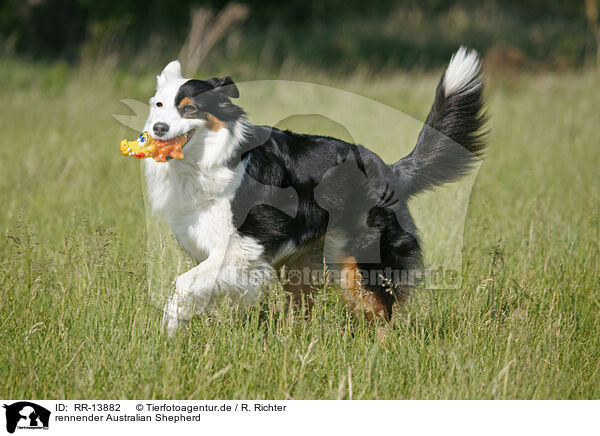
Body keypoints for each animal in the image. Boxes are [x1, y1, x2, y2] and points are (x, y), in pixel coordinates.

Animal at [144, 46, 488, 334]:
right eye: (159, 105)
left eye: (190, 109)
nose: (158, 129)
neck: (209, 159)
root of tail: (390, 170)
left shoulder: (242, 246)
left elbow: (182, 284)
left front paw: (167, 333)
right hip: (305, 263)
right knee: (304, 312)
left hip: (363, 260)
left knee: (380, 311)